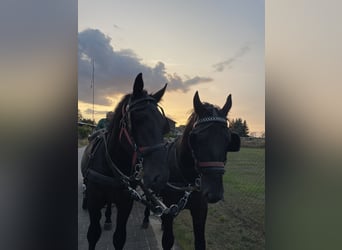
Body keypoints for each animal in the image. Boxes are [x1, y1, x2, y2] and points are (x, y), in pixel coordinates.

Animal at [140, 91, 239, 249]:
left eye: (228, 140)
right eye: (195, 138)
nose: (214, 193)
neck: (187, 177)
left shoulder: (200, 210)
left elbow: (200, 243)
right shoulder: (169, 210)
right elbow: (167, 240)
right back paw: (145, 219)